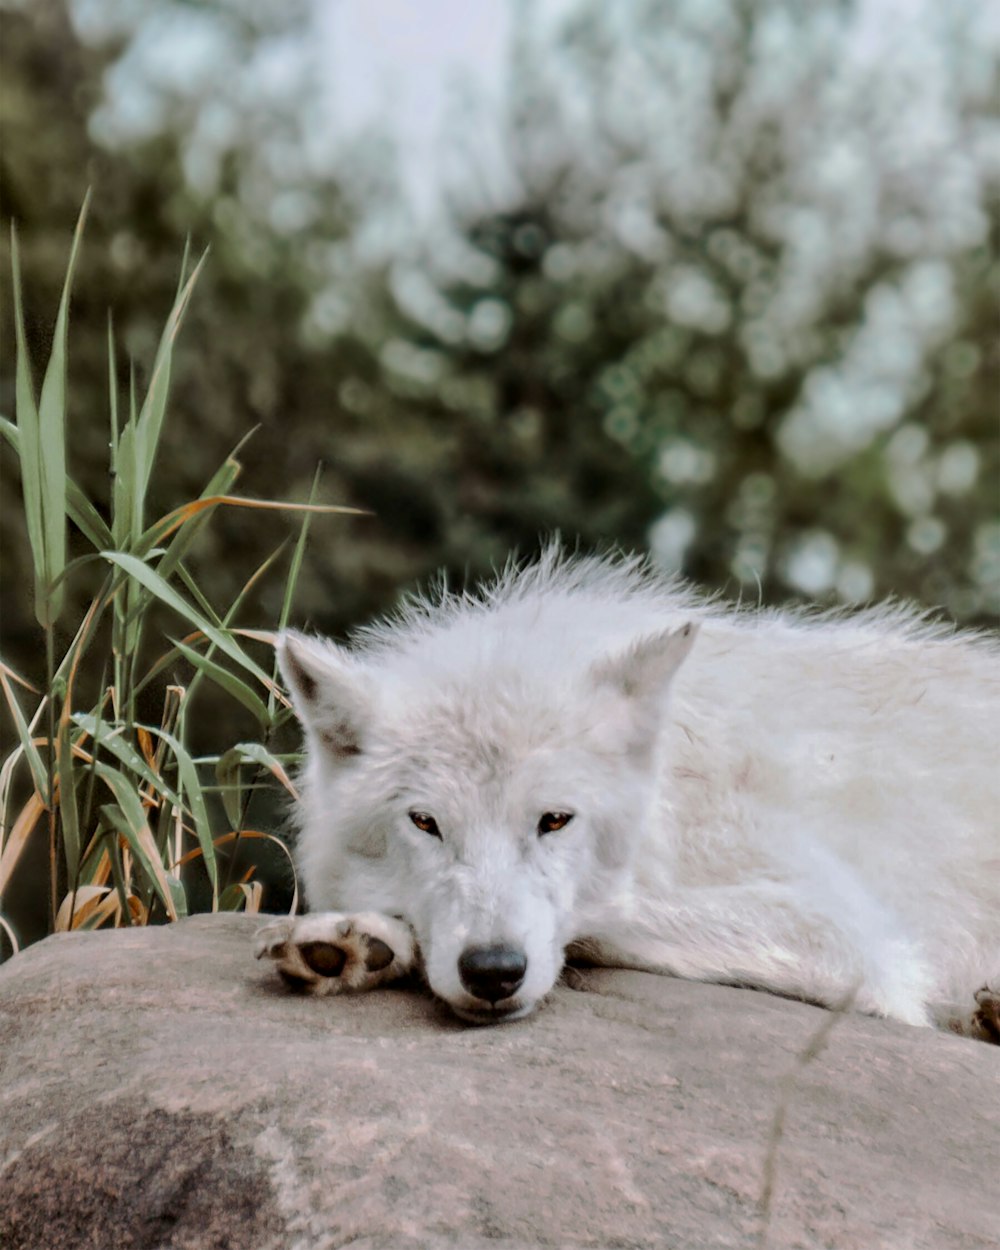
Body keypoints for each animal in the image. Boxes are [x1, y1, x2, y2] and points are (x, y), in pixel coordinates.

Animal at [257, 547, 1000, 1035]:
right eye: (425, 823)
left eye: (556, 820)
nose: (494, 971)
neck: (679, 793)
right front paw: (350, 943)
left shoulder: (851, 935)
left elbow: (602, 917)